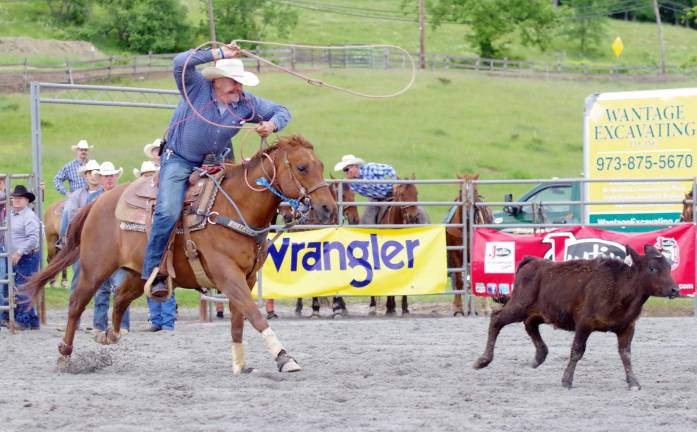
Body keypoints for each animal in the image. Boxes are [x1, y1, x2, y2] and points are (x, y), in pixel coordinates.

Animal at [23, 136, 336, 374]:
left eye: (321, 165)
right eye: (302, 167)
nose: (328, 209)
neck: (233, 208)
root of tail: (98, 201)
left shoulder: (245, 279)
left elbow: (238, 321)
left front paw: (240, 364)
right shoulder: (227, 276)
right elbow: (255, 315)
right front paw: (284, 358)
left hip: (141, 275)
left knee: (120, 300)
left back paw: (109, 335)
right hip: (94, 268)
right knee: (76, 305)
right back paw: (65, 355)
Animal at [448, 172, 492, 318]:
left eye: (475, 191)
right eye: (460, 191)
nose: (468, 213)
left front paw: (485, 308)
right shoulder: (455, 253)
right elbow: (459, 280)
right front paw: (458, 308)